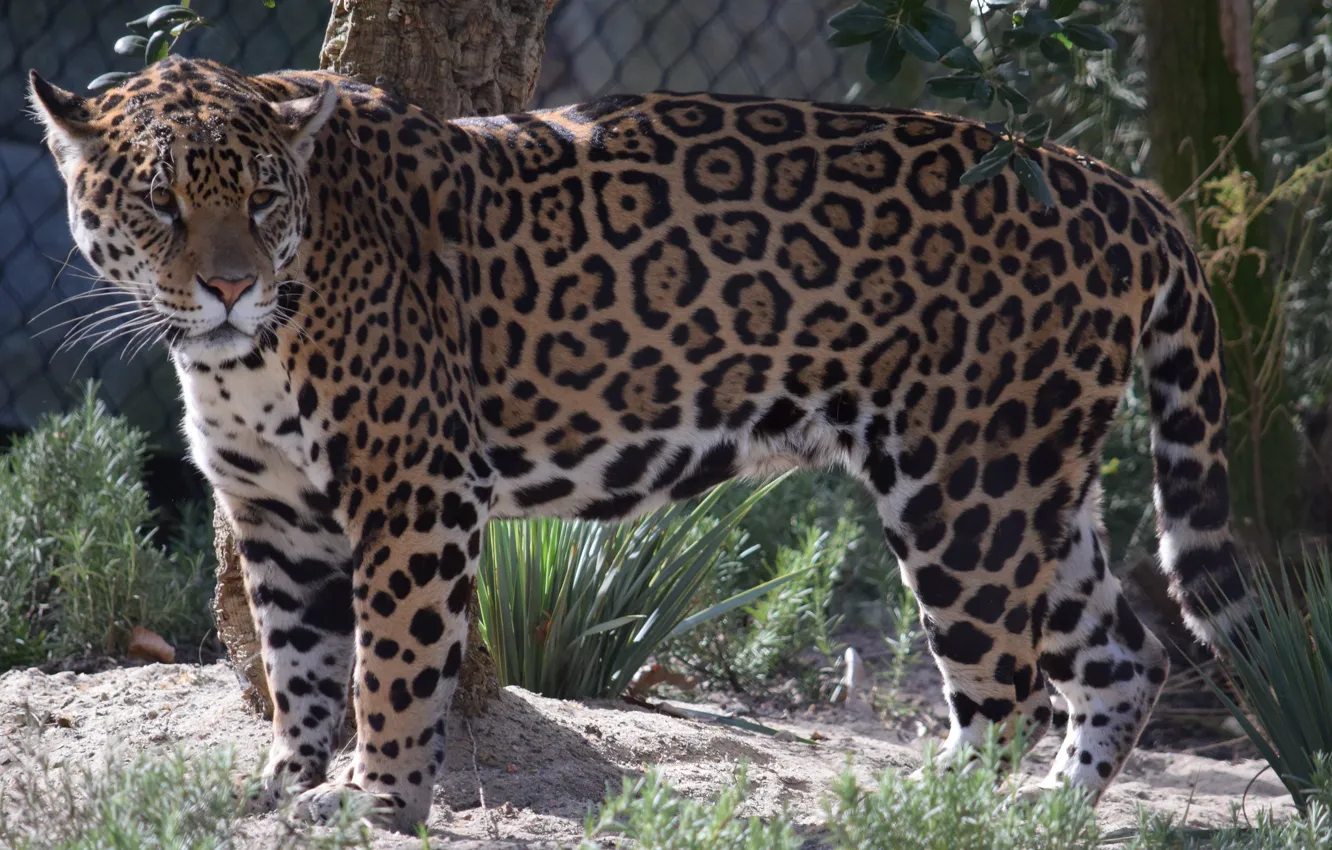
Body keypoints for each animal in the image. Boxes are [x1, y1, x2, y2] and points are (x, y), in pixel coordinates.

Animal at [30, 56, 1245, 831]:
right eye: (160, 202)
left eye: (262, 197)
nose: (231, 287)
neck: (239, 352)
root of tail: (1121, 187)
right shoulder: (277, 514)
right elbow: (301, 671)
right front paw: (285, 784)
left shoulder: (416, 493)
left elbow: (394, 672)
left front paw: (377, 803)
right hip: (1035, 478)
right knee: (1122, 656)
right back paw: (1054, 812)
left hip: (966, 490)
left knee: (1008, 696)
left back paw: (931, 811)